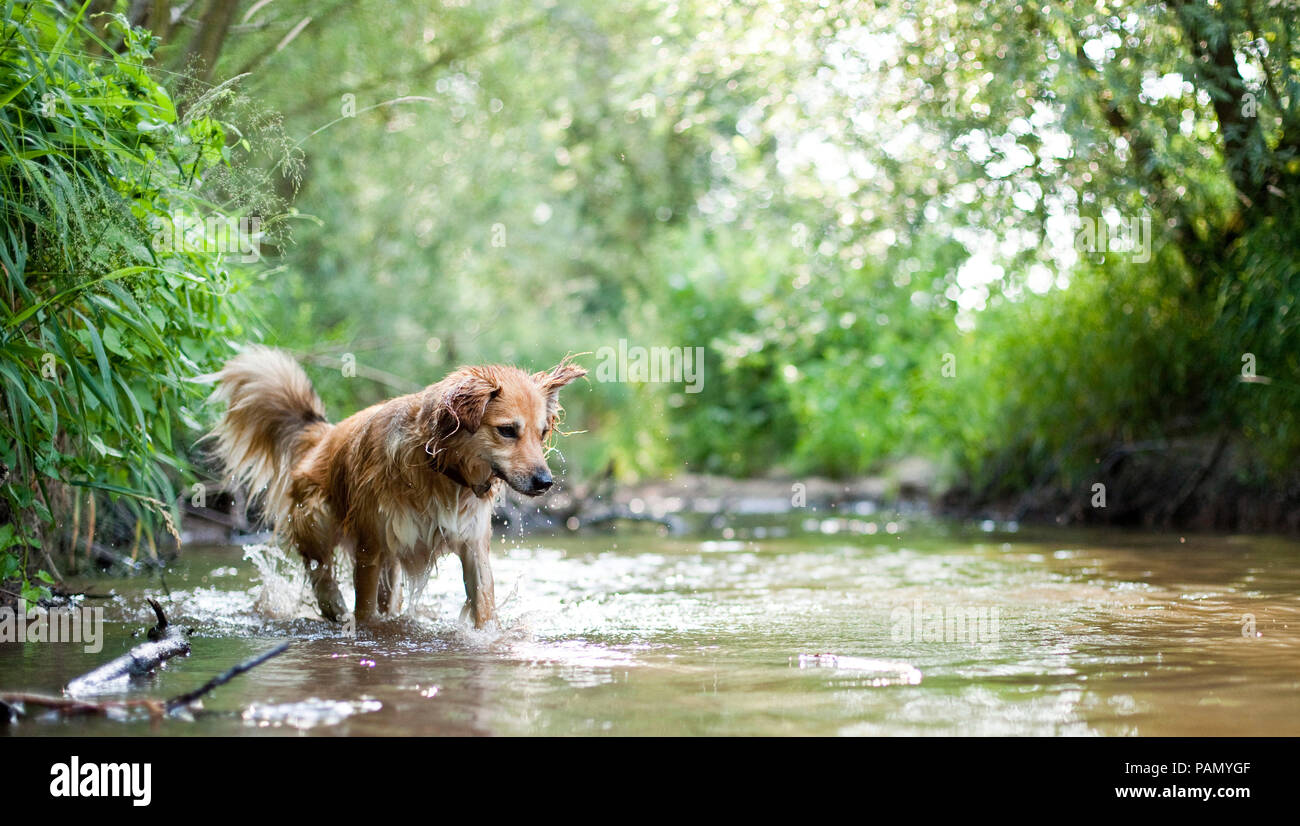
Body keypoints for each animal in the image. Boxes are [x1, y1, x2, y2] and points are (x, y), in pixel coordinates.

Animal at [206, 348, 585, 626]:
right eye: (507, 430)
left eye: (542, 433)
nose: (545, 482)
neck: (440, 469)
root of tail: (323, 434)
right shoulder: (369, 549)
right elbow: (365, 611)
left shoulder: (473, 546)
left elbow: (483, 603)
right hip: (319, 520)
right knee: (319, 569)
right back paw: (333, 605)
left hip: (392, 561)